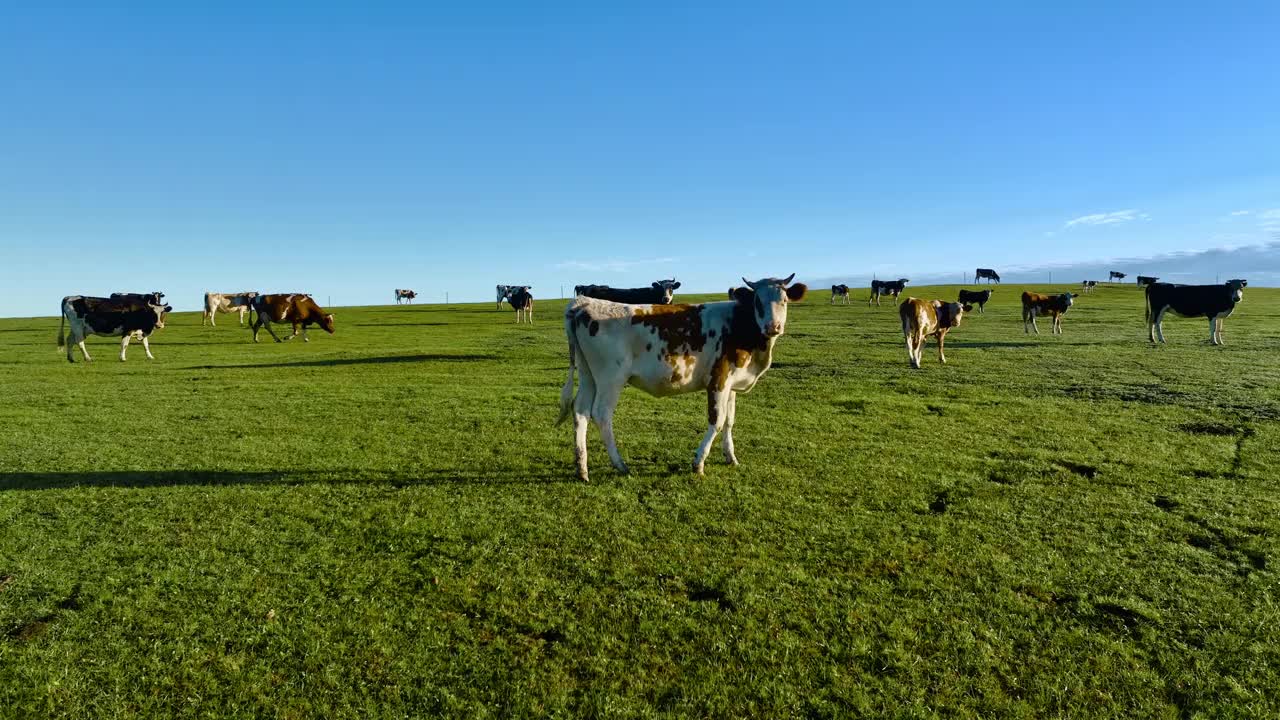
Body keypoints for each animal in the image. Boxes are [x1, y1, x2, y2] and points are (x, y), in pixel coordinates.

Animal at [555, 271, 803, 479]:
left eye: (784, 300)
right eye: (758, 302)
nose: (773, 326)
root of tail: (585, 303)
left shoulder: (732, 382)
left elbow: (730, 421)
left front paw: (731, 457)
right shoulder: (718, 379)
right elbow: (717, 420)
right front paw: (698, 463)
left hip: (588, 375)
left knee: (580, 411)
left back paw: (582, 468)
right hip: (611, 378)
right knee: (601, 414)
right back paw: (619, 464)